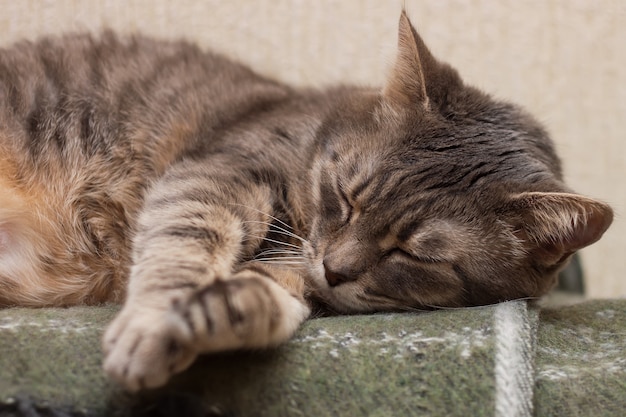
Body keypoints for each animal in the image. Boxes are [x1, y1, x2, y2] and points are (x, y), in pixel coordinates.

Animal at [0, 11, 612, 390]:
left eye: (414, 254)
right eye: (346, 197)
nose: (335, 269)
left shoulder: (294, 273)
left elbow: (270, 296)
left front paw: (221, 313)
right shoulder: (219, 169)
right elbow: (183, 245)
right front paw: (154, 324)